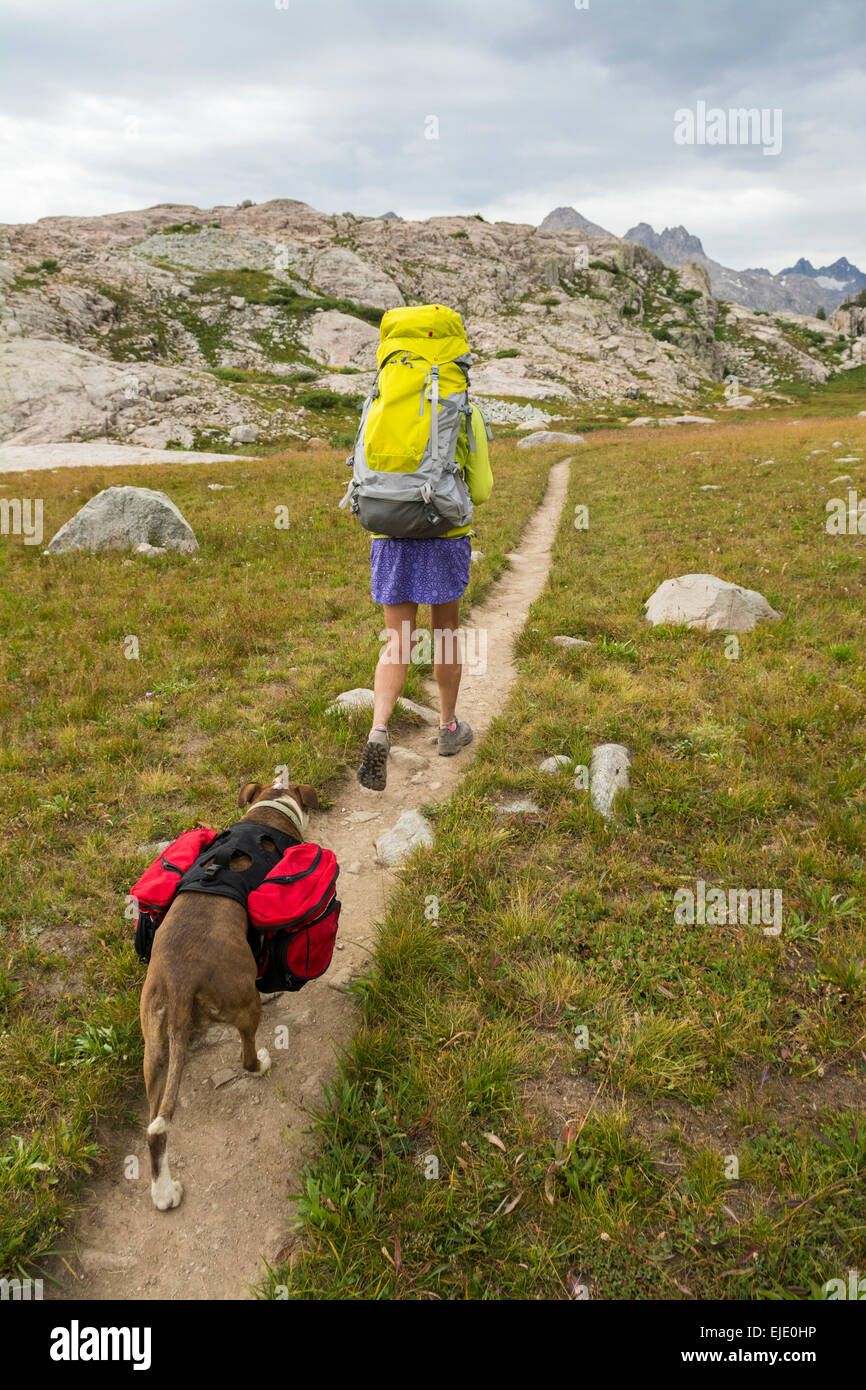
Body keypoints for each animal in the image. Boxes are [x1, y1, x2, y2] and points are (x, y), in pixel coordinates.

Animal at [140, 778, 319, 1212]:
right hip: (242, 1004)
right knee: (246, 1056)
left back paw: (164, 1192)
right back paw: (262, 1062)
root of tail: (181, 982)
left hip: (154, 1044)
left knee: (155, 1126)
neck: (268, 809)